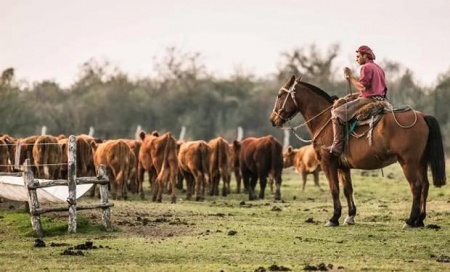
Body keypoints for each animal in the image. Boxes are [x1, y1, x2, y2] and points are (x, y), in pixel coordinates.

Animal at [268, 74, 444, 227]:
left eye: (279, 95)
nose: (272, 119)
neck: (325, 120)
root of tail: (422, 116)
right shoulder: (343, 167)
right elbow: (347, 190)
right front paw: (350, 216)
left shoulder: (328, 164)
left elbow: (334, 189)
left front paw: (334, 218)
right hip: (421, 162)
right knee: (425, 185)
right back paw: (420, 219)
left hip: (408, 162)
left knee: (416, 186)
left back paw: (410, 220)